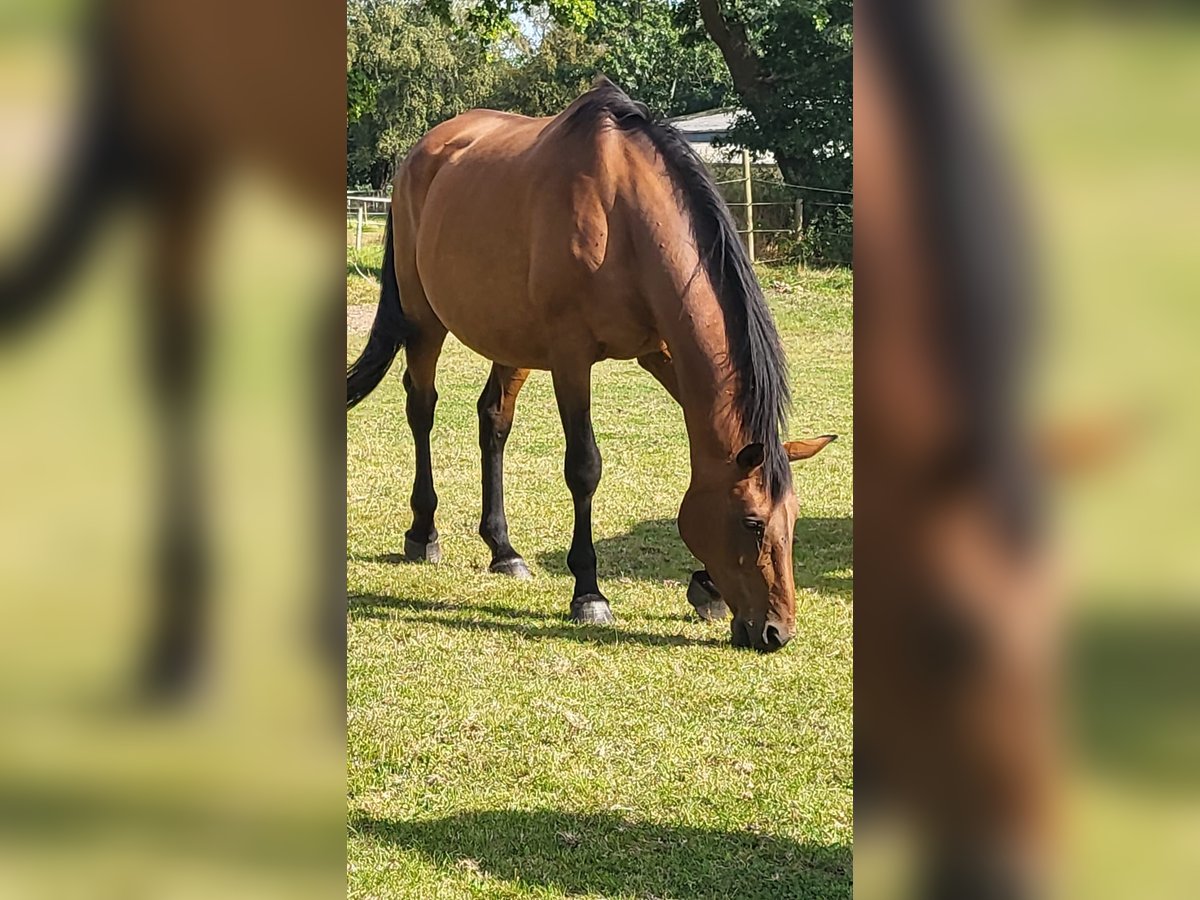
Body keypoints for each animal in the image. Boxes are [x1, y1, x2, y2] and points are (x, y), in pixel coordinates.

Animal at [348, 79, 835, 657]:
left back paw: (503, 549)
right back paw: (423, 532)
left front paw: (707, 587)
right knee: (421, 408)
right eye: (752, 523)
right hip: (425, 320)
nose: (776, 632)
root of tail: (421, 154)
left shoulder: (659, 351)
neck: (621, 215)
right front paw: (588, 593)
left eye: (793, 520)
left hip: (510, 339)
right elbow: (584, 468)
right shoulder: (570, 358)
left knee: (493, 420)